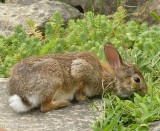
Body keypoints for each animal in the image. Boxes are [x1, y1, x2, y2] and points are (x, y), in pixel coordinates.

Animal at [7, 43, 148, 112]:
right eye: (137, 79)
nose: (145, 91)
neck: (111, 77)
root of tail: (22, 95)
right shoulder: (81, 71)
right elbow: (79, 87)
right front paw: (83, 98)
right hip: (53, 80)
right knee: (44, 107)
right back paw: (64, 102)